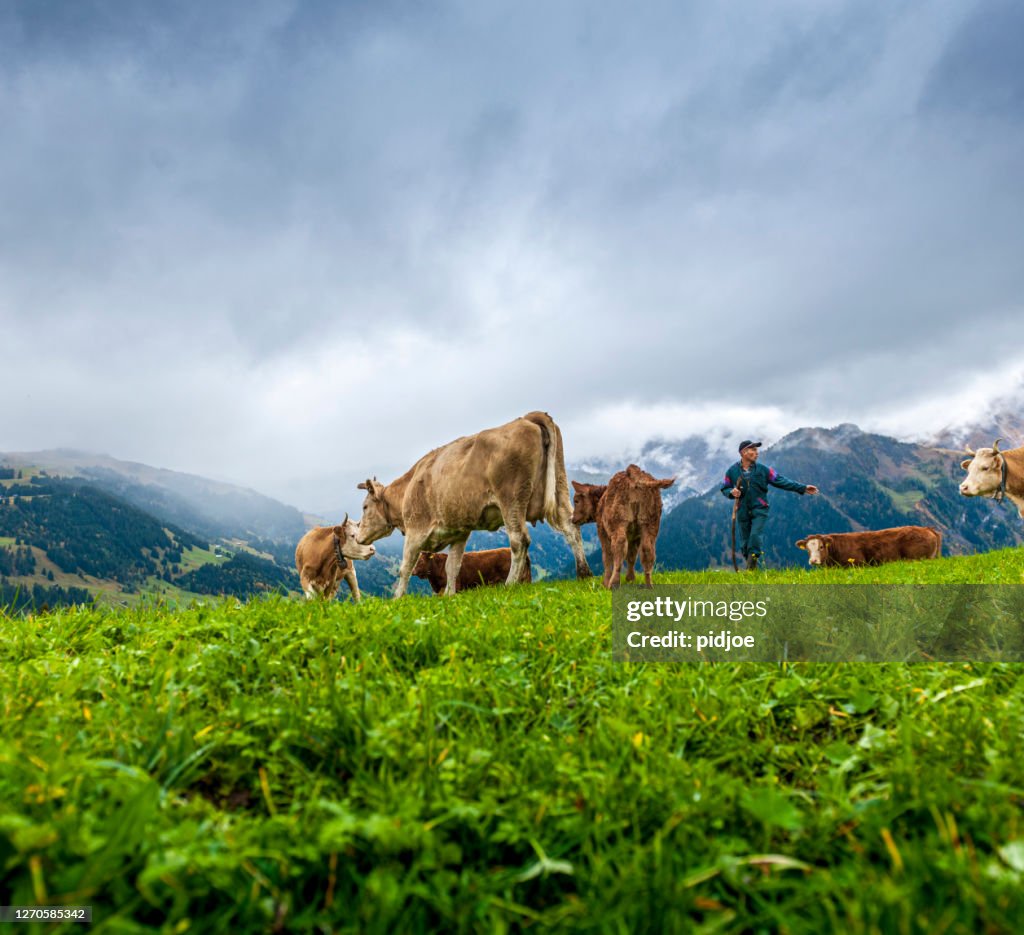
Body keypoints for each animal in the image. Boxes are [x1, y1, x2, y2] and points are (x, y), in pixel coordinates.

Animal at [354, 409, 593, 598]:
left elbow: (405, 567)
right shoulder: (459, 532)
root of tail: (527, 418)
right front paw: (450, 596)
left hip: (511, 498)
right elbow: (452, 567)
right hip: (560, 487)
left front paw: (397, 599)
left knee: (519, 540)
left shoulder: (416, 530)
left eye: (364, 507)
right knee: (571, 528)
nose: (357, 537)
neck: (409, 487)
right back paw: (584, 573)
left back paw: (510, 584)